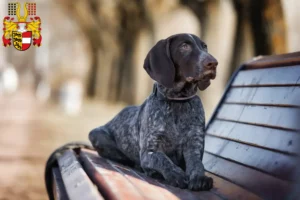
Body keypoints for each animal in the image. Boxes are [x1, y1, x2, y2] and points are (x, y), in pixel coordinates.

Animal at [89, 33, 218, 191]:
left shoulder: (194, 146)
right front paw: (176, 174)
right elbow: (162, 159)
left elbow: (197, 164)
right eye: (184, 46)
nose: (213, 63)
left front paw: (199, 177)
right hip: (97, 134)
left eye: (204, 47)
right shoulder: (149, 151)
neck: (177, 101)